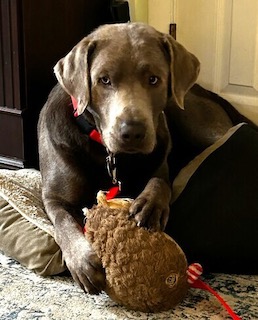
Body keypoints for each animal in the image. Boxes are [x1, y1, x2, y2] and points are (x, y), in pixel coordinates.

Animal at [37, 21, 248, 292]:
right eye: (104, 80)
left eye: (153, 79)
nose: (133, 132)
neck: (109, 156)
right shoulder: (54, 197)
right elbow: (63, 222)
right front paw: (82, 260)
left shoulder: (159, 161)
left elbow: (160, 181)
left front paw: (150, 205)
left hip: (195, 121)